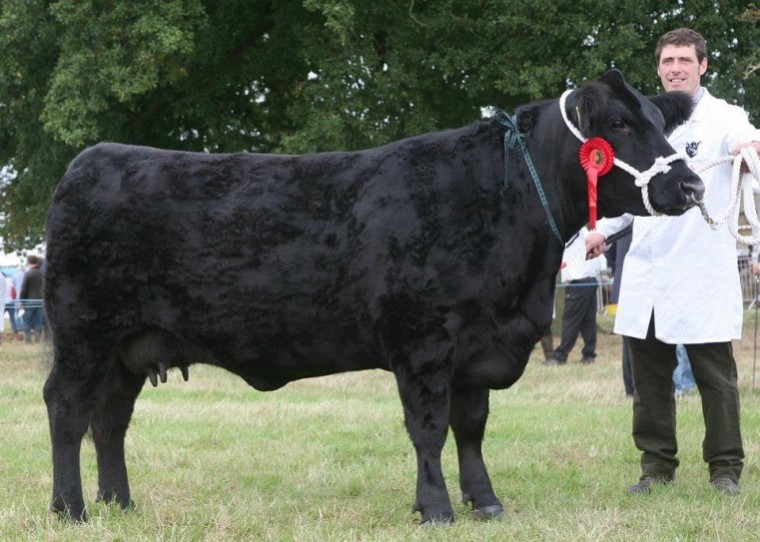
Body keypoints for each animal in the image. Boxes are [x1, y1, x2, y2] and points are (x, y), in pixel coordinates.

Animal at [44, 70, 704, 524]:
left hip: (129, 345)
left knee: (110, 419)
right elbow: (429, 428)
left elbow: (471, 428)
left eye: (660, 122)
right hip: (83, 330)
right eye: (617, 126)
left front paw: (485, 502)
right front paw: (436, 508)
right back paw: (71, 509)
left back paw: (121, 503)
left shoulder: (476, 345)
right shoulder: (423, 340)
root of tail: (92, 159)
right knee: (67, 409)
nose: (693, 185)